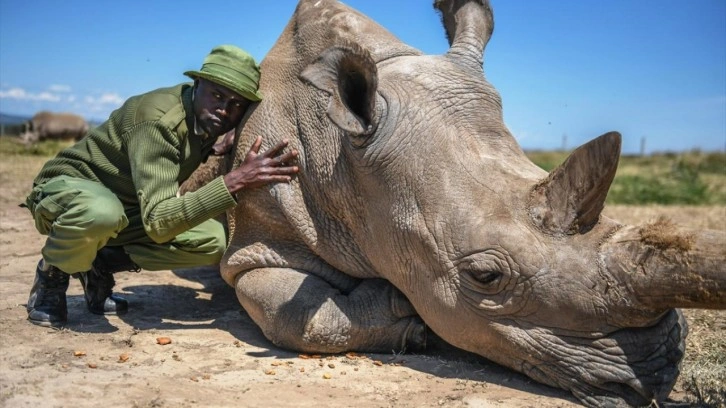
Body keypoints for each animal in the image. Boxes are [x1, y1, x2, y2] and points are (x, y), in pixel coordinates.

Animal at [183, 1, 726, 406]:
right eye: (484, 277)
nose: (656, 374)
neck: (341, 157)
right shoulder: (259, 238)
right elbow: (297, 318)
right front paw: (406, 314)